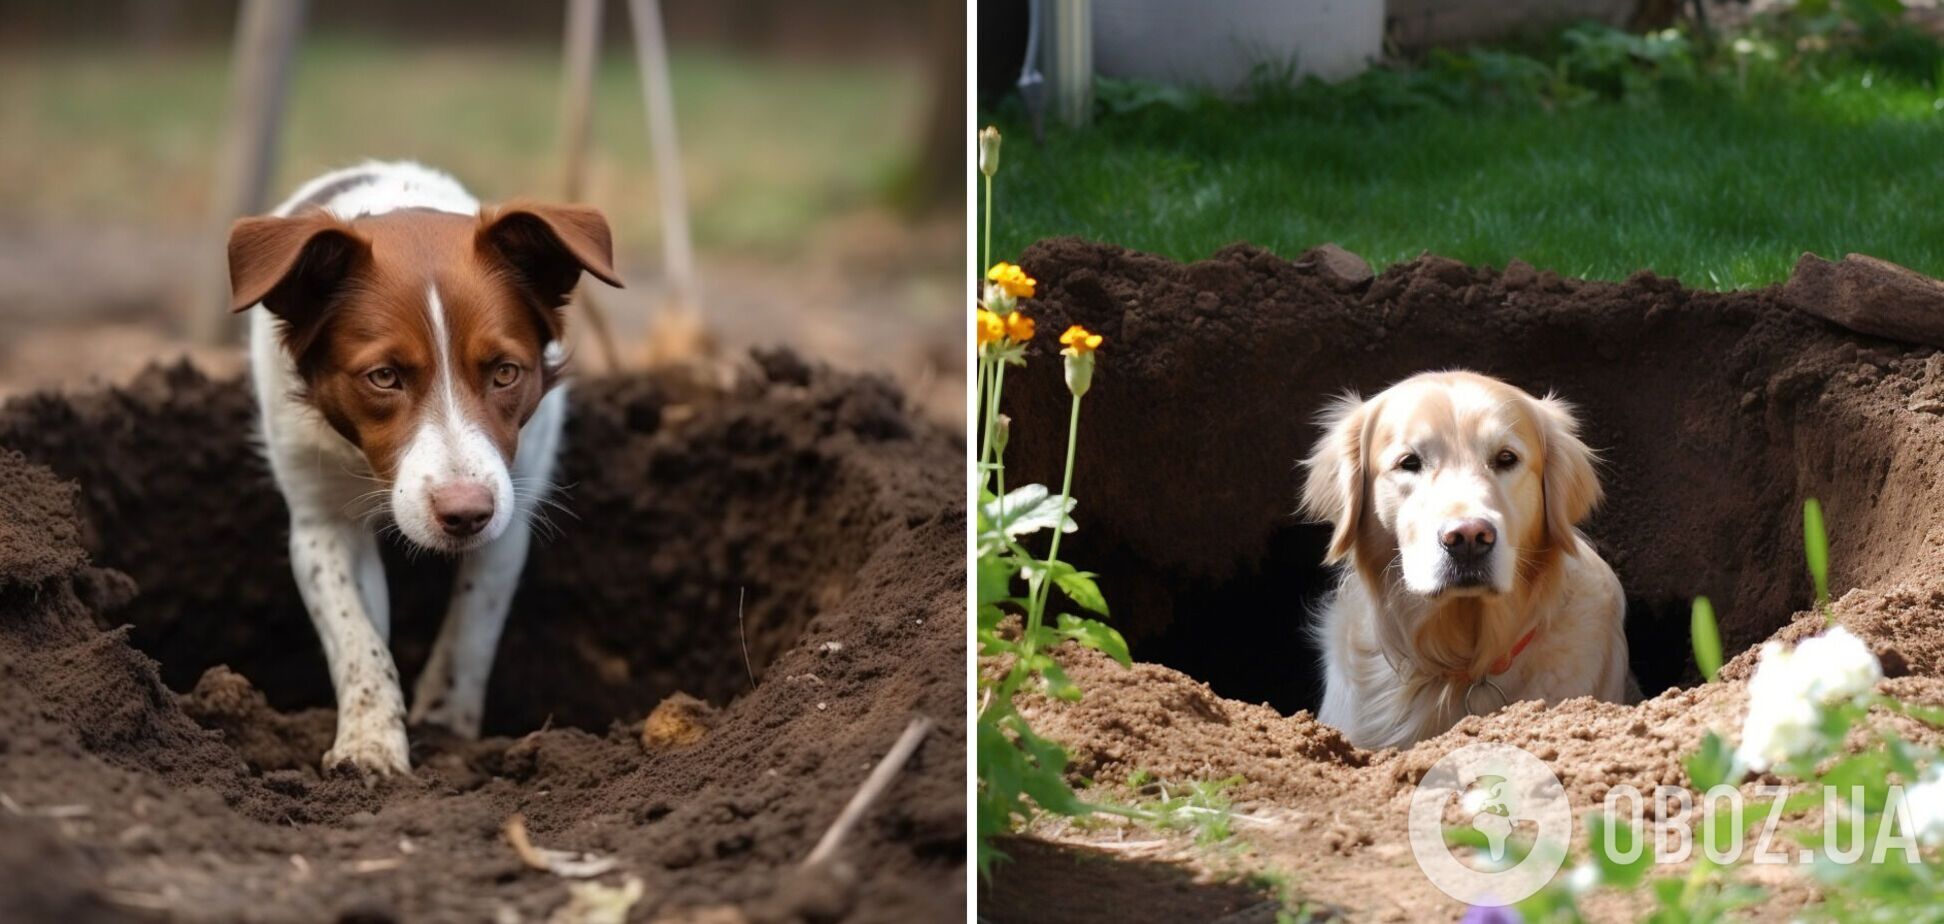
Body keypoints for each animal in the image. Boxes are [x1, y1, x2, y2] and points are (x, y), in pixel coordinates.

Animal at [230, 162, 618, 778]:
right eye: (384, 377)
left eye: (505, 372)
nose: (465, 514)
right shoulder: (319, 520)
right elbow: (356, 634)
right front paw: (369, 743)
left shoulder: (511, 508)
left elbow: (473, 624)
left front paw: (448, 728)